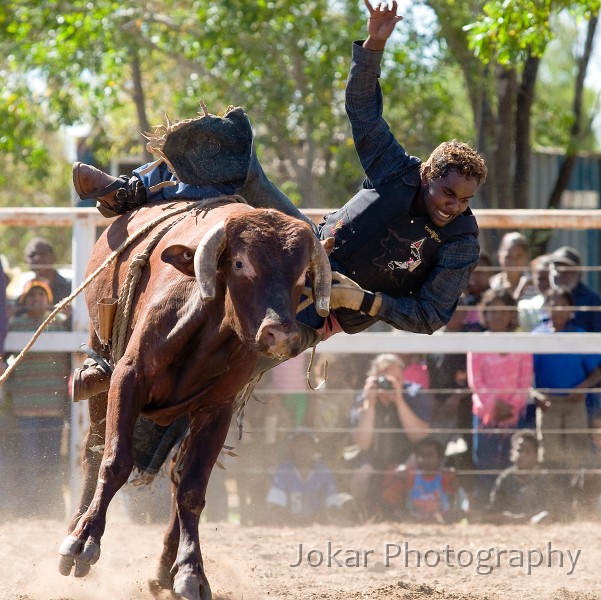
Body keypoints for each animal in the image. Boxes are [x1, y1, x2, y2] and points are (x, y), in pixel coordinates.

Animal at [58, 198, 330, 600]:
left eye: (302, 277)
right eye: (239, 263)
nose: (280, 334)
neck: (206, 329)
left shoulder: (217, 409)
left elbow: (191, 489)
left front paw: (190, 572)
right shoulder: (127, 379)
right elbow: (115, 460)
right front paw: (84, 542)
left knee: (177, 474)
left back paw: (163, 570)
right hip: (99, 369)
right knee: (93, 451)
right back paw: (76, 527)